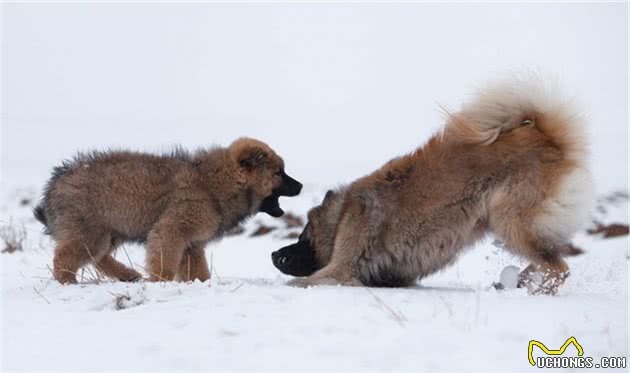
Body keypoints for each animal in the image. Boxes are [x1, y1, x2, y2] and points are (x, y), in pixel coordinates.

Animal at [36, 138, 304, 284]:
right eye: (278, 173)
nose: (300, 186)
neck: (214, 184)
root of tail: (56, 182)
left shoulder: (192, 244)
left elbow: (198, 271)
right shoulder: (172, 230)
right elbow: (164, 263)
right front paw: (160, 284)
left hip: (109, 231)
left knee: (97, 257)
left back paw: (127, 275)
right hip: (91, 231)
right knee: (65, 258)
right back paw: (68, 282)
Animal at [274, 76, 596, 294]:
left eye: (304, 236)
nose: (274, 254)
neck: (342, 214)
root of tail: (551, 142)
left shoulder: (342, 267)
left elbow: (305, 281)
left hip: (510, 219)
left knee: (559, 268)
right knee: (548, 261)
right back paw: (514, 282)